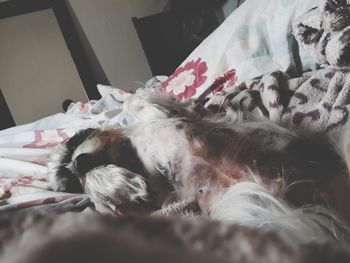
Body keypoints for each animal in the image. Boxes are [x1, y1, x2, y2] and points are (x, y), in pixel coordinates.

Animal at [47, 93, 350, 245]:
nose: (78, 163)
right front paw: (119, 183)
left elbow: (135, 103)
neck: (134, 156)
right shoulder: (156, 203)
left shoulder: (189, 116)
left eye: (75, 139)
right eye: (68, 181)